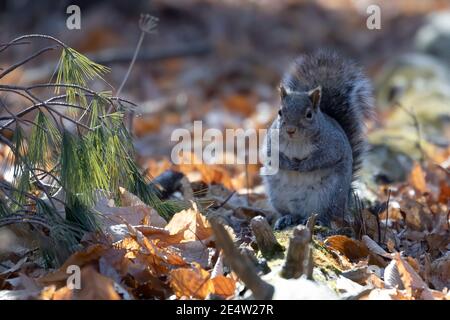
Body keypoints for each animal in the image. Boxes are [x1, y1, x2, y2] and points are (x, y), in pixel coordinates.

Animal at [262, 50, 374, 229]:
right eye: (280, 112)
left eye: (309, 115)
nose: (290, 130)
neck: (297, 142)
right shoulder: (270, 142)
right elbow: (270, 155)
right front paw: (289, 164)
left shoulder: (333, 146)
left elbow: (324, 158)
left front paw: (304, 166)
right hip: (278, 197)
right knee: (290, 212)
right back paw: (286, 218)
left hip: (329, 197)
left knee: (326, 215)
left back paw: (317, 220)